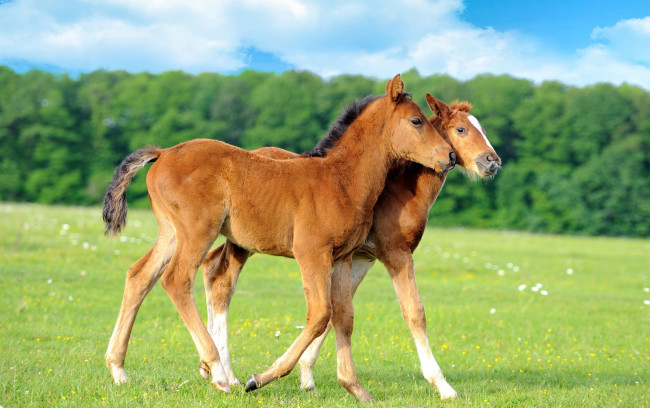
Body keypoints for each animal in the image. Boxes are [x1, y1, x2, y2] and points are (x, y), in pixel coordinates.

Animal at [102, 74, 455, 401]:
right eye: (416, 121)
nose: (450, 156)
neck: (341, 180)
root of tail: (162, 153)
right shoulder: (311, 252)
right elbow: (320, 313)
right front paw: (259, 379)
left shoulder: (342, 257)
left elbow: (343, 316)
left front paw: (357, 389)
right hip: (197, 231)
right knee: (176, 279)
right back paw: (219, 373)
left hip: (171, 232)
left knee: (140, 277)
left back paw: (118, 370)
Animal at [200, 94, 501, 400]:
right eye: (461, 129)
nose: (492, 161)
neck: (398, 190)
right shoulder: (395, 253)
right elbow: (414, 312)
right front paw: (443, 386)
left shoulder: (359, 258)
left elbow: (337, 311)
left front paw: (307, 377)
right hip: (243, 243)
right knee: (223, 282)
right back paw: (227, 375)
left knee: (212, 269)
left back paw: (210, 368)